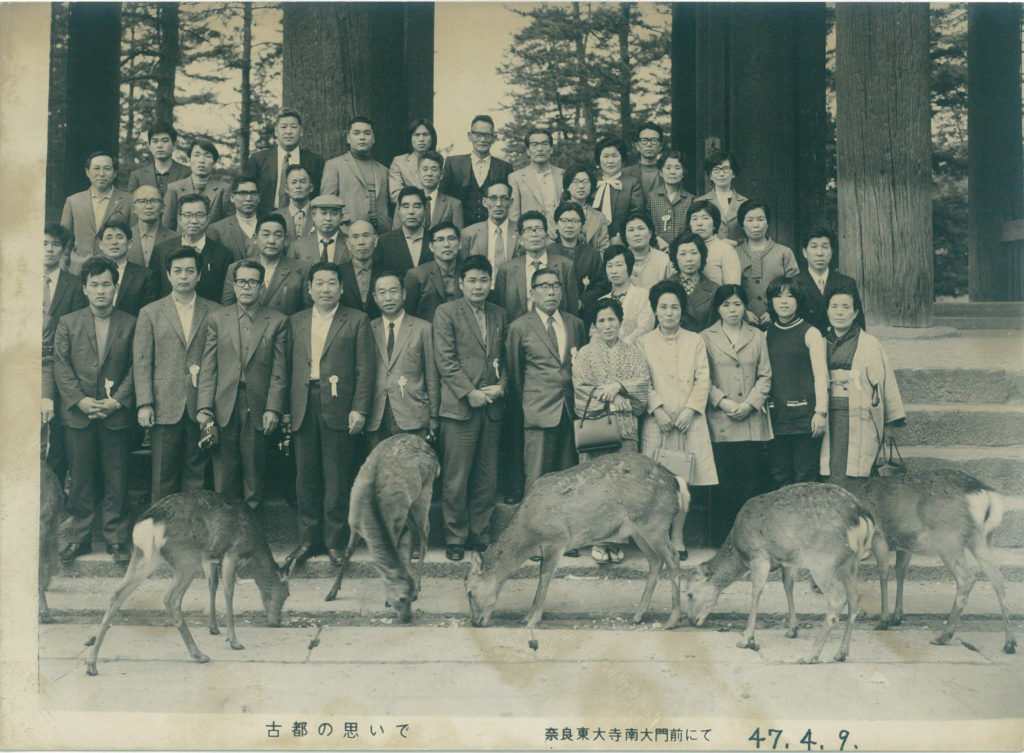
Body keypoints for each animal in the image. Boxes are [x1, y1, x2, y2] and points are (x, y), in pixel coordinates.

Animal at [84, 489, 288, 676]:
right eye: (287, 593)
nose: (277, 622)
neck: (254, 545)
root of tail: (148, 524)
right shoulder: (232, 551)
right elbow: (228, 590)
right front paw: (234, 641)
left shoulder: (209, 559)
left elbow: (212, 584)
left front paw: (214, 628)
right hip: (185, 560)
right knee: (170, 599)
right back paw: (198, 654)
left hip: (144, 557)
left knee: (117, 594)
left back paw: (91, 664)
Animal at [321, 432, 438, 622]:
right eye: (402, 598)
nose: (407, 618)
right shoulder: (353, 522)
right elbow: (348, 552)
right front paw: (331, 592)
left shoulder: (396, 521)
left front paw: (387, 601)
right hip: (411, 504)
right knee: (415, 530)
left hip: (425, 490)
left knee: (425, 533)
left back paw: (419, 584)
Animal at [466, 452, 688, 631]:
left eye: (469, 592)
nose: (475, 622)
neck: (529, 533)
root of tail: (676, 482)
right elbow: (541, 577)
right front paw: (526, 617)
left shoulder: (557, 539)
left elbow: (545, 576)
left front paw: (533, 620)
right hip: (638, 530)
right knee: (655, 561)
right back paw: (638, 615)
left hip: (655, 523)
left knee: (673, 558)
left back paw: (672, 620)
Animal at [684, 483, 876, 663]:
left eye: (689, 594)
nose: (691, 620)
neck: (739, 552)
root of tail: (863, 518)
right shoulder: (789, 561)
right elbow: (788, 586)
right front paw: (792, 630)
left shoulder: (759, 556)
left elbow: (756, 591)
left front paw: (747, 639)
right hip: (850, 562)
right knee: (854, 599)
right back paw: (840, 653)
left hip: (822, 560)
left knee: (837, 599)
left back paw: (810, 656)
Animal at [847, 471, 1015, 655]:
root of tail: (987, 495)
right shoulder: (905, 545)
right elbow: (900, 572)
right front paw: (897, 617)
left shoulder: (880, 538)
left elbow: (883, 574)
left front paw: (883, 620)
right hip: (982, 539)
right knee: (997, 577)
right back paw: (1010, 643)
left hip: (949, 540)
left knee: (967, 577)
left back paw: (943, 636)